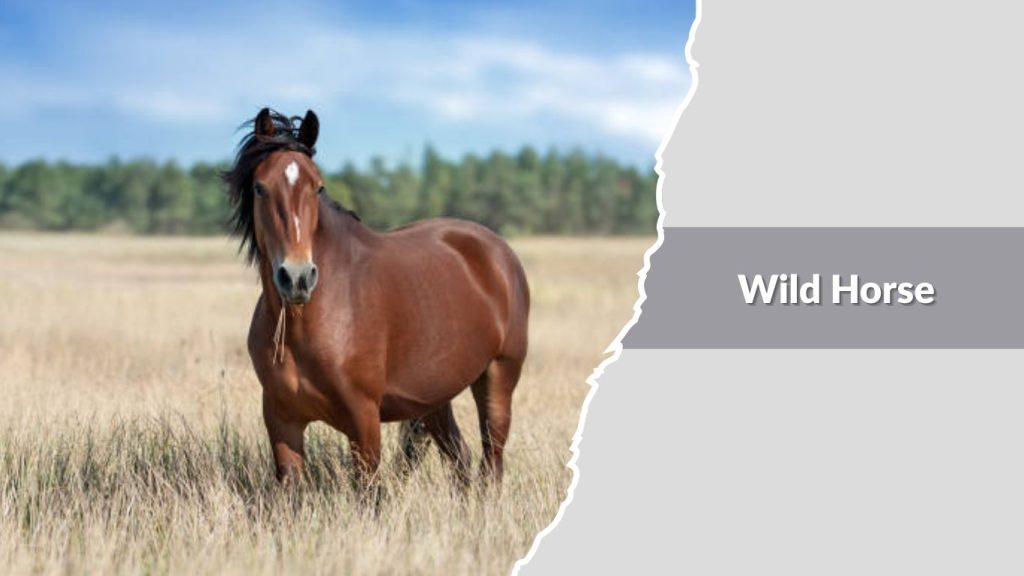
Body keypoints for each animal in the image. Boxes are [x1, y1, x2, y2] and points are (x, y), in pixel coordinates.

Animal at [222, 108, 530, 490]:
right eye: (260, 187)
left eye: (318, 186)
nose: (297, 277)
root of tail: (499, 252)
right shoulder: (282, 420)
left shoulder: (364, 420)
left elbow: (369, 493)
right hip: (435, 398)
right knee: (460, 458)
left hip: (499, 377)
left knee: (492, 462)